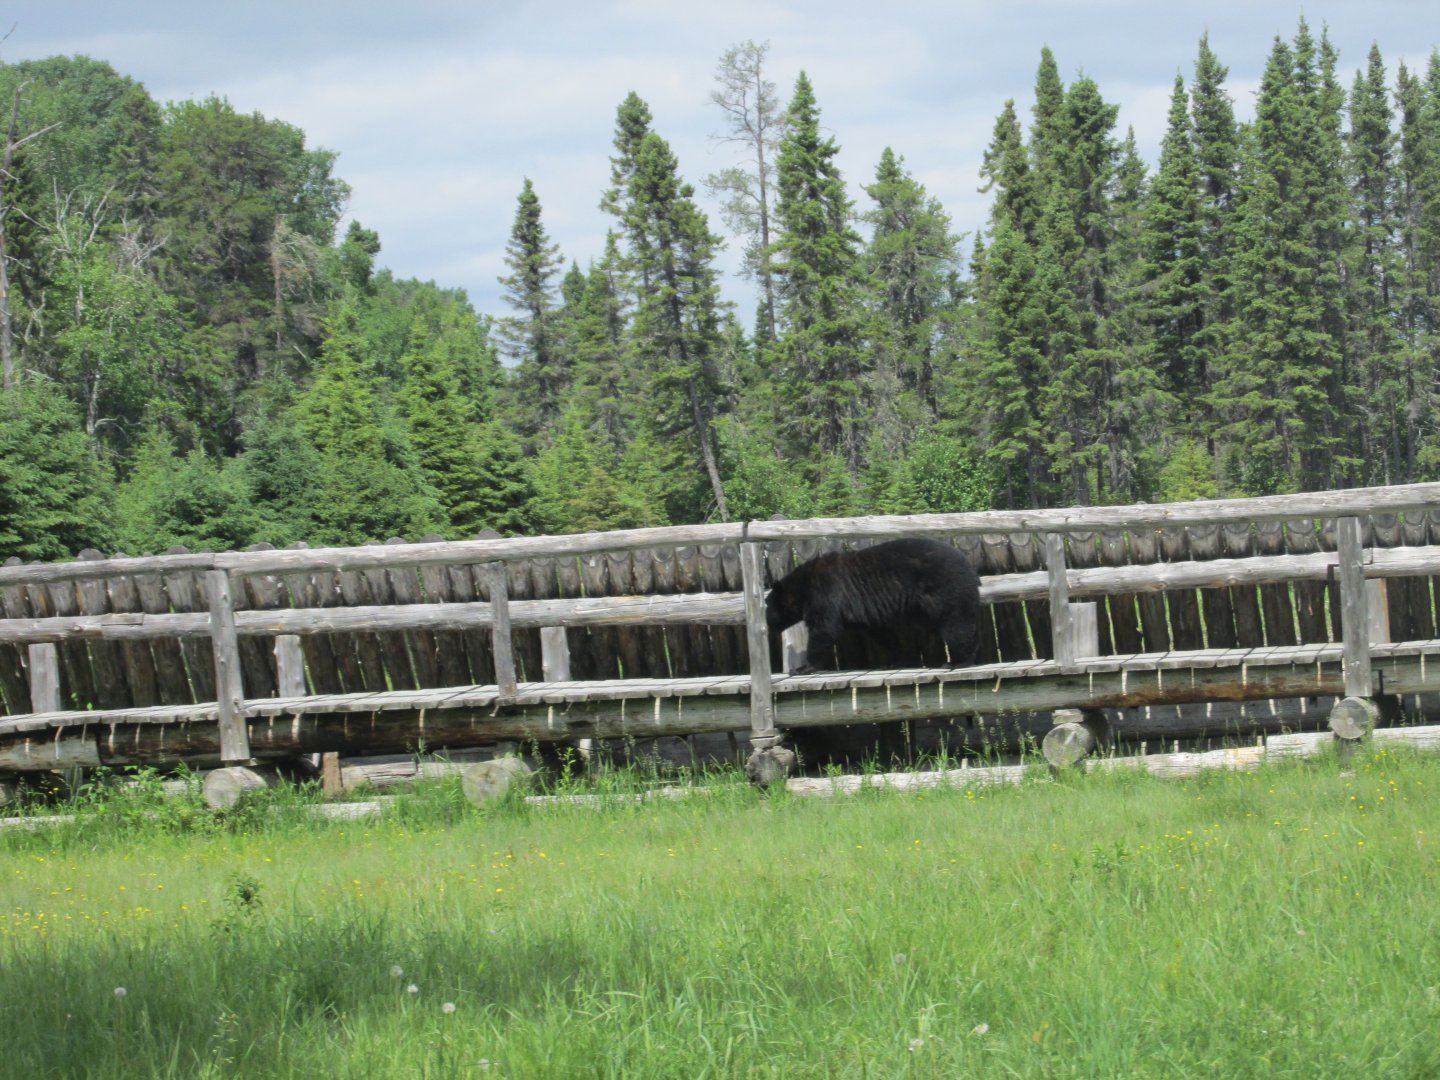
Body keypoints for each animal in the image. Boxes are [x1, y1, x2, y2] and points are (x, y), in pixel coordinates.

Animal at [764, 537, 982, 675]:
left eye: (766, 606)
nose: (767, 624)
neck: (803, 587)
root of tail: (971, 568)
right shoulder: (867, 612)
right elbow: (881, 632)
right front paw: (894, 658)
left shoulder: (826, 593)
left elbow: (824, 629)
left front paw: (803, 668)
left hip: (947, 590)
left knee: (957, 625)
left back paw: (958, 661)